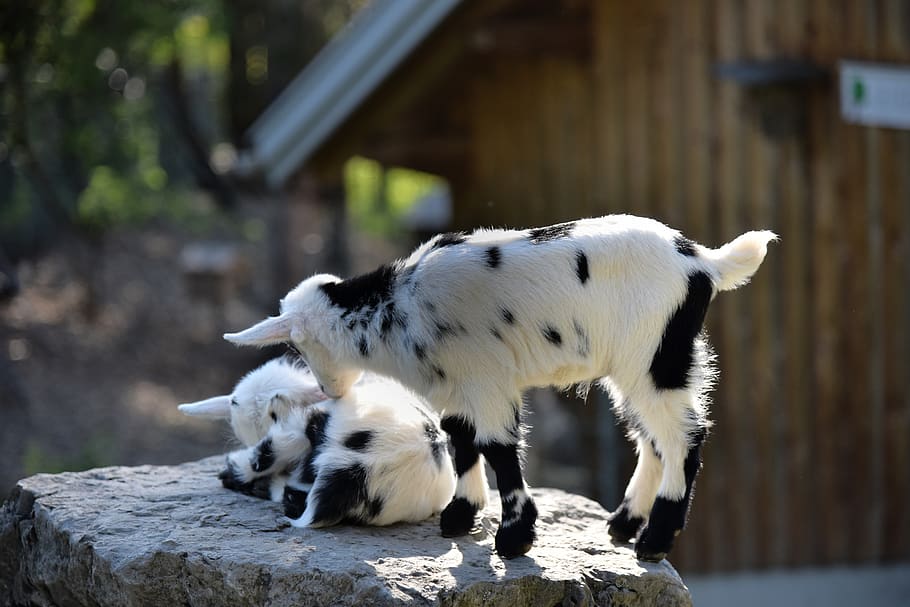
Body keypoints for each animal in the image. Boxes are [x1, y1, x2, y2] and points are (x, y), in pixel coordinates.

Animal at [223, 214, 776, 561]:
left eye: (299, 345)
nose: (331, 392)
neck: (401, 309)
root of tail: (702, 263)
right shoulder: (457, 386)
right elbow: (461, 440)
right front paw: (460, 514)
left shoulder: (486, 380)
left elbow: (498, 448)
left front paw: (514, 537)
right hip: (640, 363)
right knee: (652, 438)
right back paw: (623, 524)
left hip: (654, 356)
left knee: (684, 438)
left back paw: (656, 539)